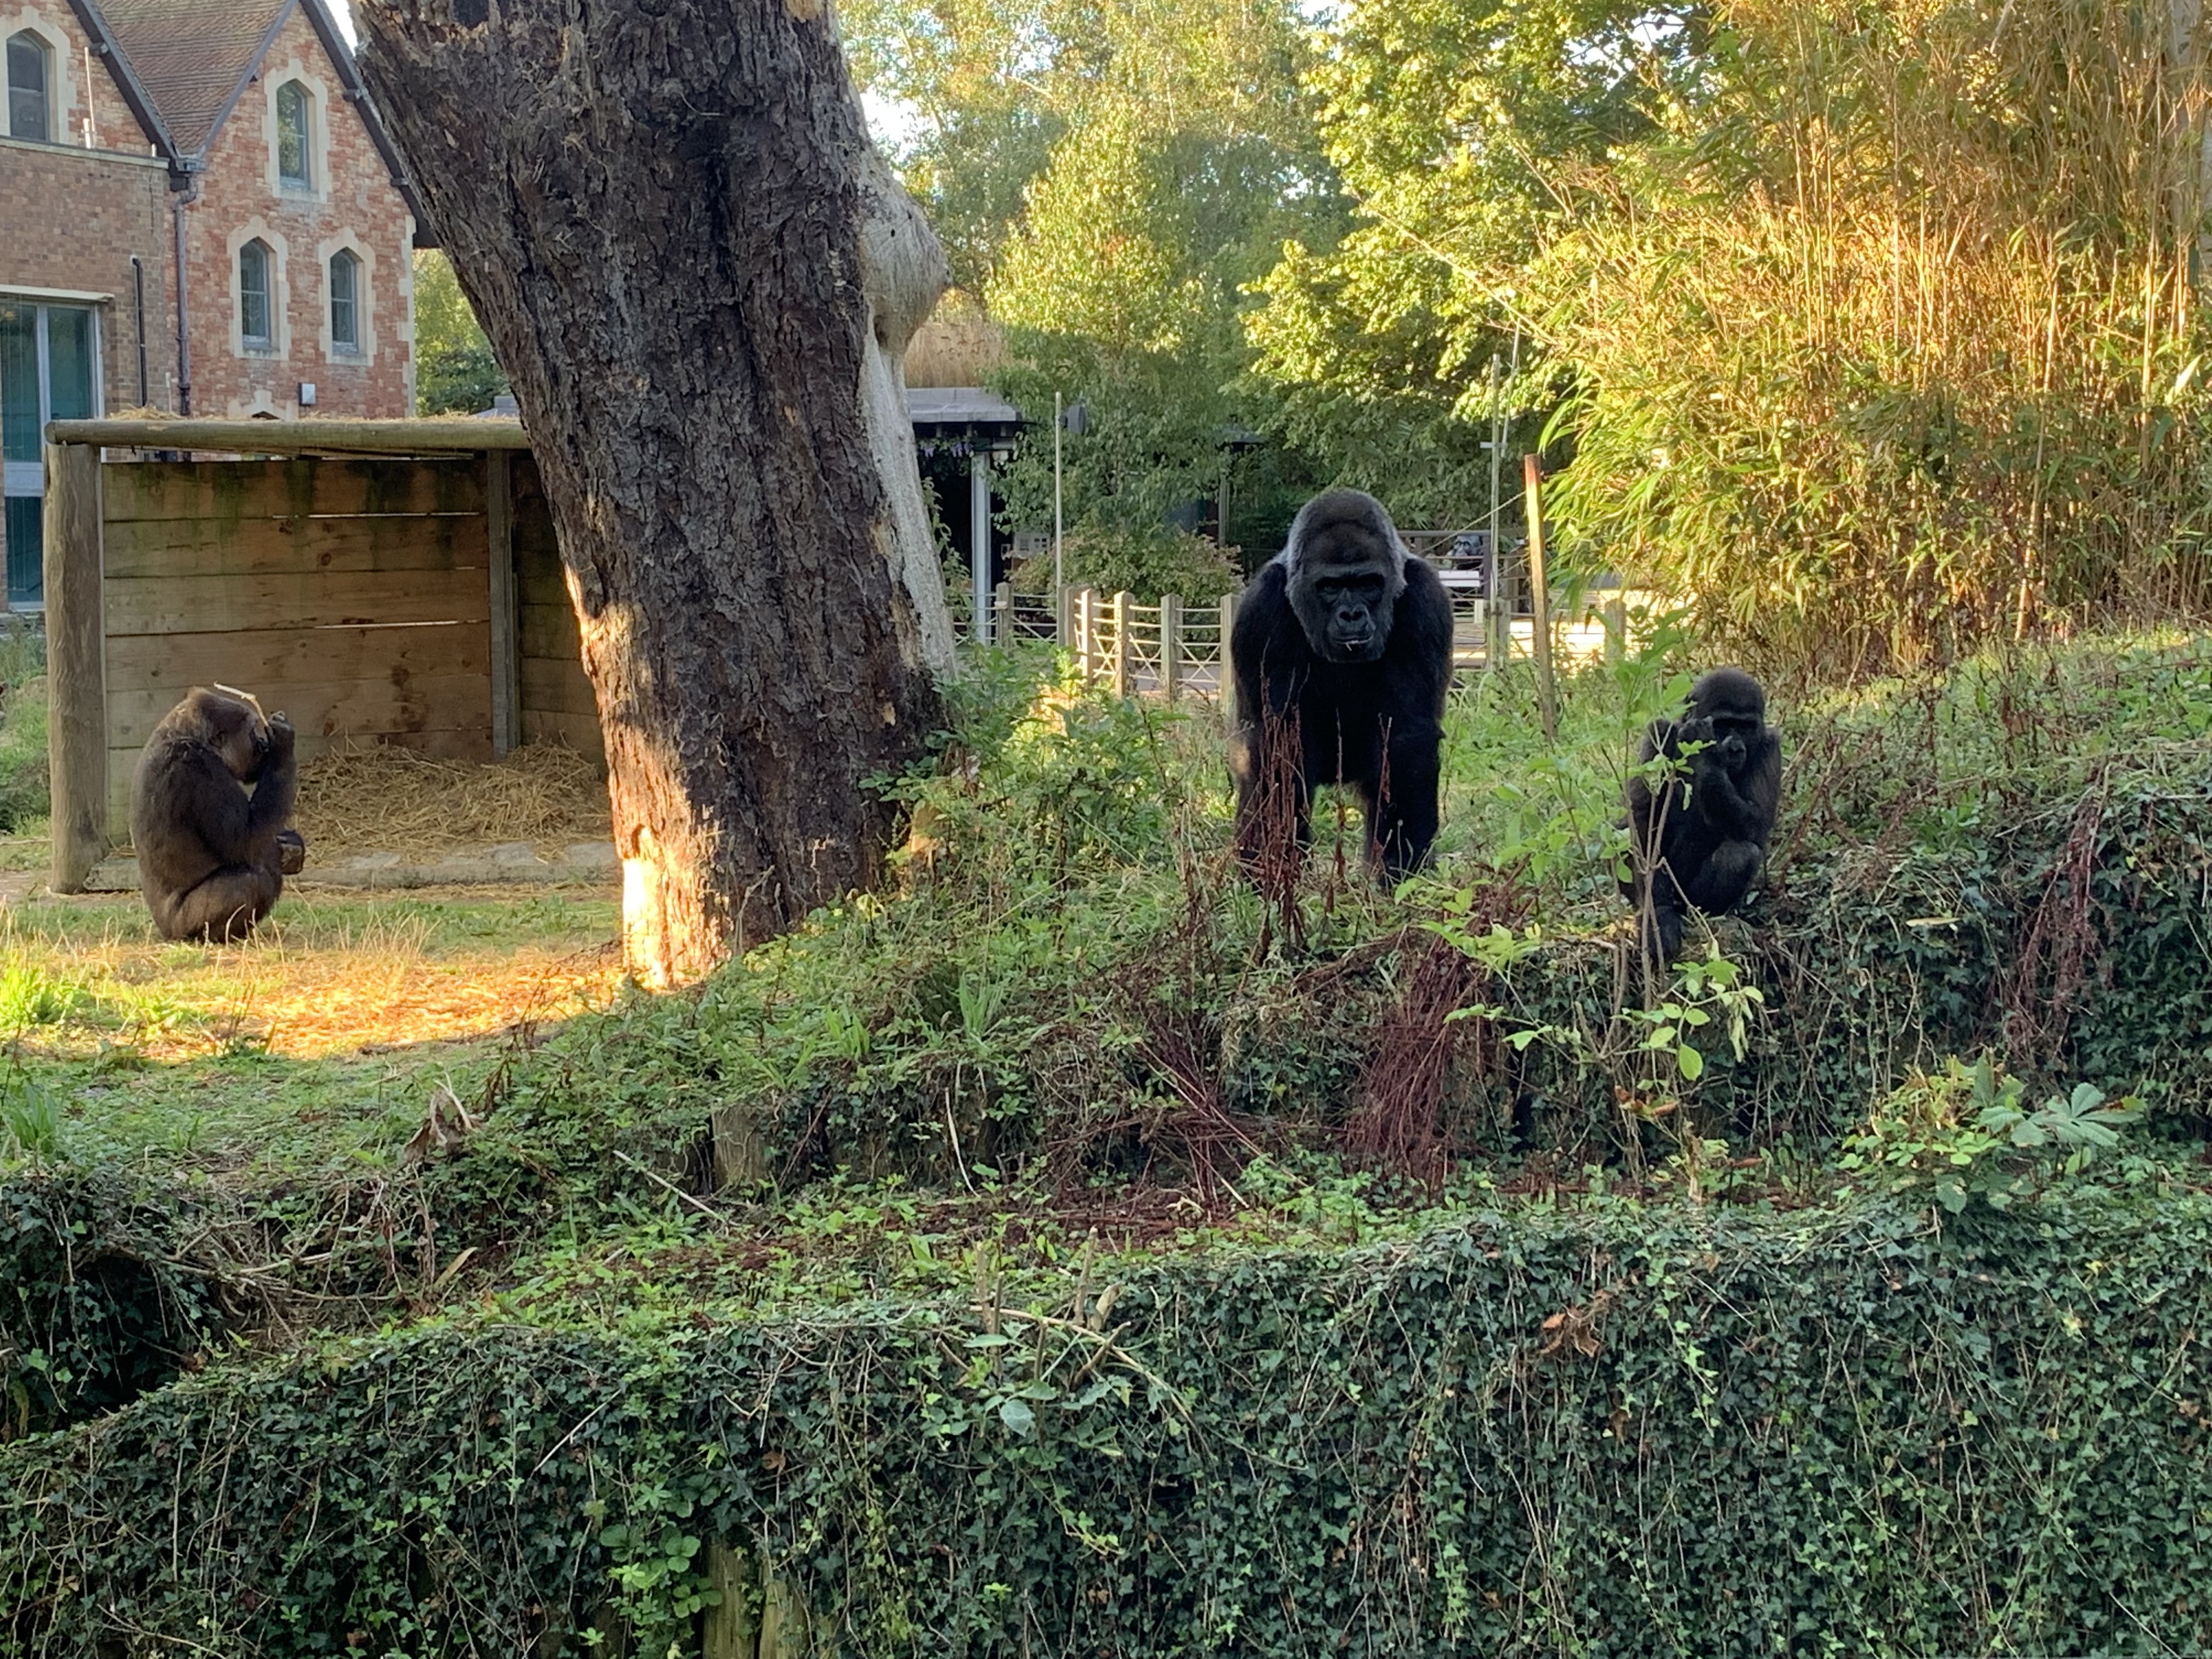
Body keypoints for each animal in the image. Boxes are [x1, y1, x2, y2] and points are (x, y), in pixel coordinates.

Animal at [133, 690, 307, 946]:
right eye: (252, 732)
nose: (264, 745)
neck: (188, 735)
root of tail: (165, 933)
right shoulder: (202, 769)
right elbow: (247, 842)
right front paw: (283, 743)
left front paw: (290, 847)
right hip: (178, 928)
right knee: (249, 881)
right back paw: (215, 937)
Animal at [1229, 487, 1451, 884]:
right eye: (1330, 587)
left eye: (1367, 583)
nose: (1351, 615)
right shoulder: (1261, 610)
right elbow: (1280, 742)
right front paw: (1272, 869)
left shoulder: (1425, 600)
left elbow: (1406, 738)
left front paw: (1402, 869)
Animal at [1628, 668, 1778, 969]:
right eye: (1723, 725)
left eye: (1745, 727)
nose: (1735, 749)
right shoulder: (1658, 732)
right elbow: (1643, 820)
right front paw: (1659, 916)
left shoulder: (1771, 746)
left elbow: (1756, 824)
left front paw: (1708, 756)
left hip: (1692, 900)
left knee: (1741, 854)